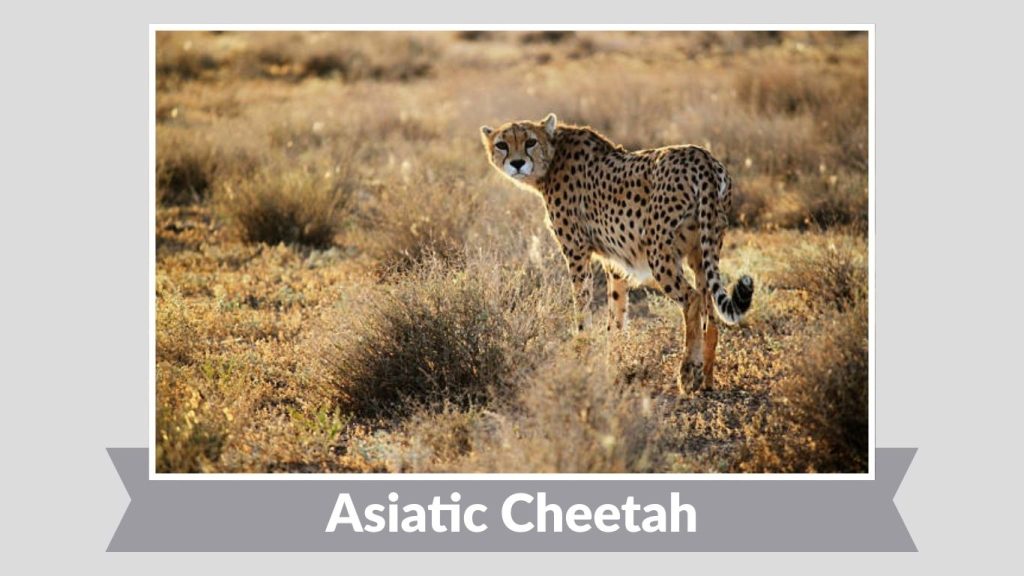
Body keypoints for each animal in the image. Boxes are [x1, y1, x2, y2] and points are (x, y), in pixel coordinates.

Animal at [480, 113, 754, 392]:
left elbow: (582, 305)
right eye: (502, 144)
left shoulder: (577, 251)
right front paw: (612, 361)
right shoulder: (615, 261)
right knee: (710, 311)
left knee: (693, 299)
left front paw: (583, 353)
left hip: (659, 251)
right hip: (702, 250)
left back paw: (688, 373)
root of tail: (703, 157)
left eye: (530, 141)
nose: (517, 163)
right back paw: (706, 378)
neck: (553, 156)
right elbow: (617, 314)